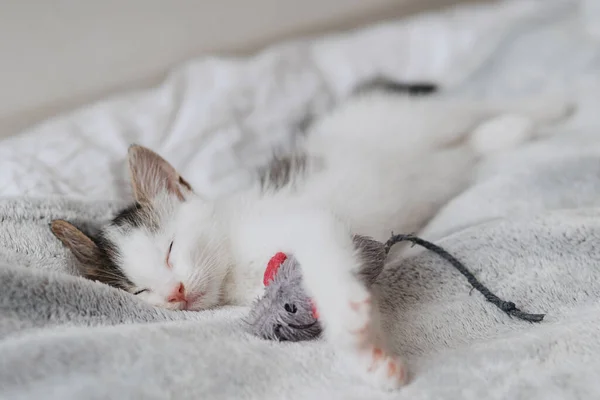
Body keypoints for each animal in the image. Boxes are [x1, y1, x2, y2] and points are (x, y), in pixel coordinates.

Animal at [51, 86, 572, 390]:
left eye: (171, 249)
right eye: (141, 292)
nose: (175, 293)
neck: (234, 263)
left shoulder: (313, 223)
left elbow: (327, 261)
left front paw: (349, 318)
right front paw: (371, 359)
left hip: (409, 118)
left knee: (471, 106)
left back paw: (542, 107)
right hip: (437, 160)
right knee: (465, 148)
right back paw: (504, 134)